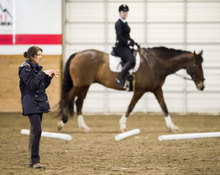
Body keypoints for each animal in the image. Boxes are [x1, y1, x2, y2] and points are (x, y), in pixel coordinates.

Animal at [57, 46, 205, 133]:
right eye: (197, 65)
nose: (202, 86)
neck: (154, 64)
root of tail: (78, 54)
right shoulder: (140, 90)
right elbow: (131, 106)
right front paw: (122, 125)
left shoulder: (157, 89)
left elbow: (164, 107)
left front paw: (172, 126)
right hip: (79, 85)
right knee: (68, 98)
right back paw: (61, 123)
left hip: (85, 85)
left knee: (78, 102)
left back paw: (84, 127)